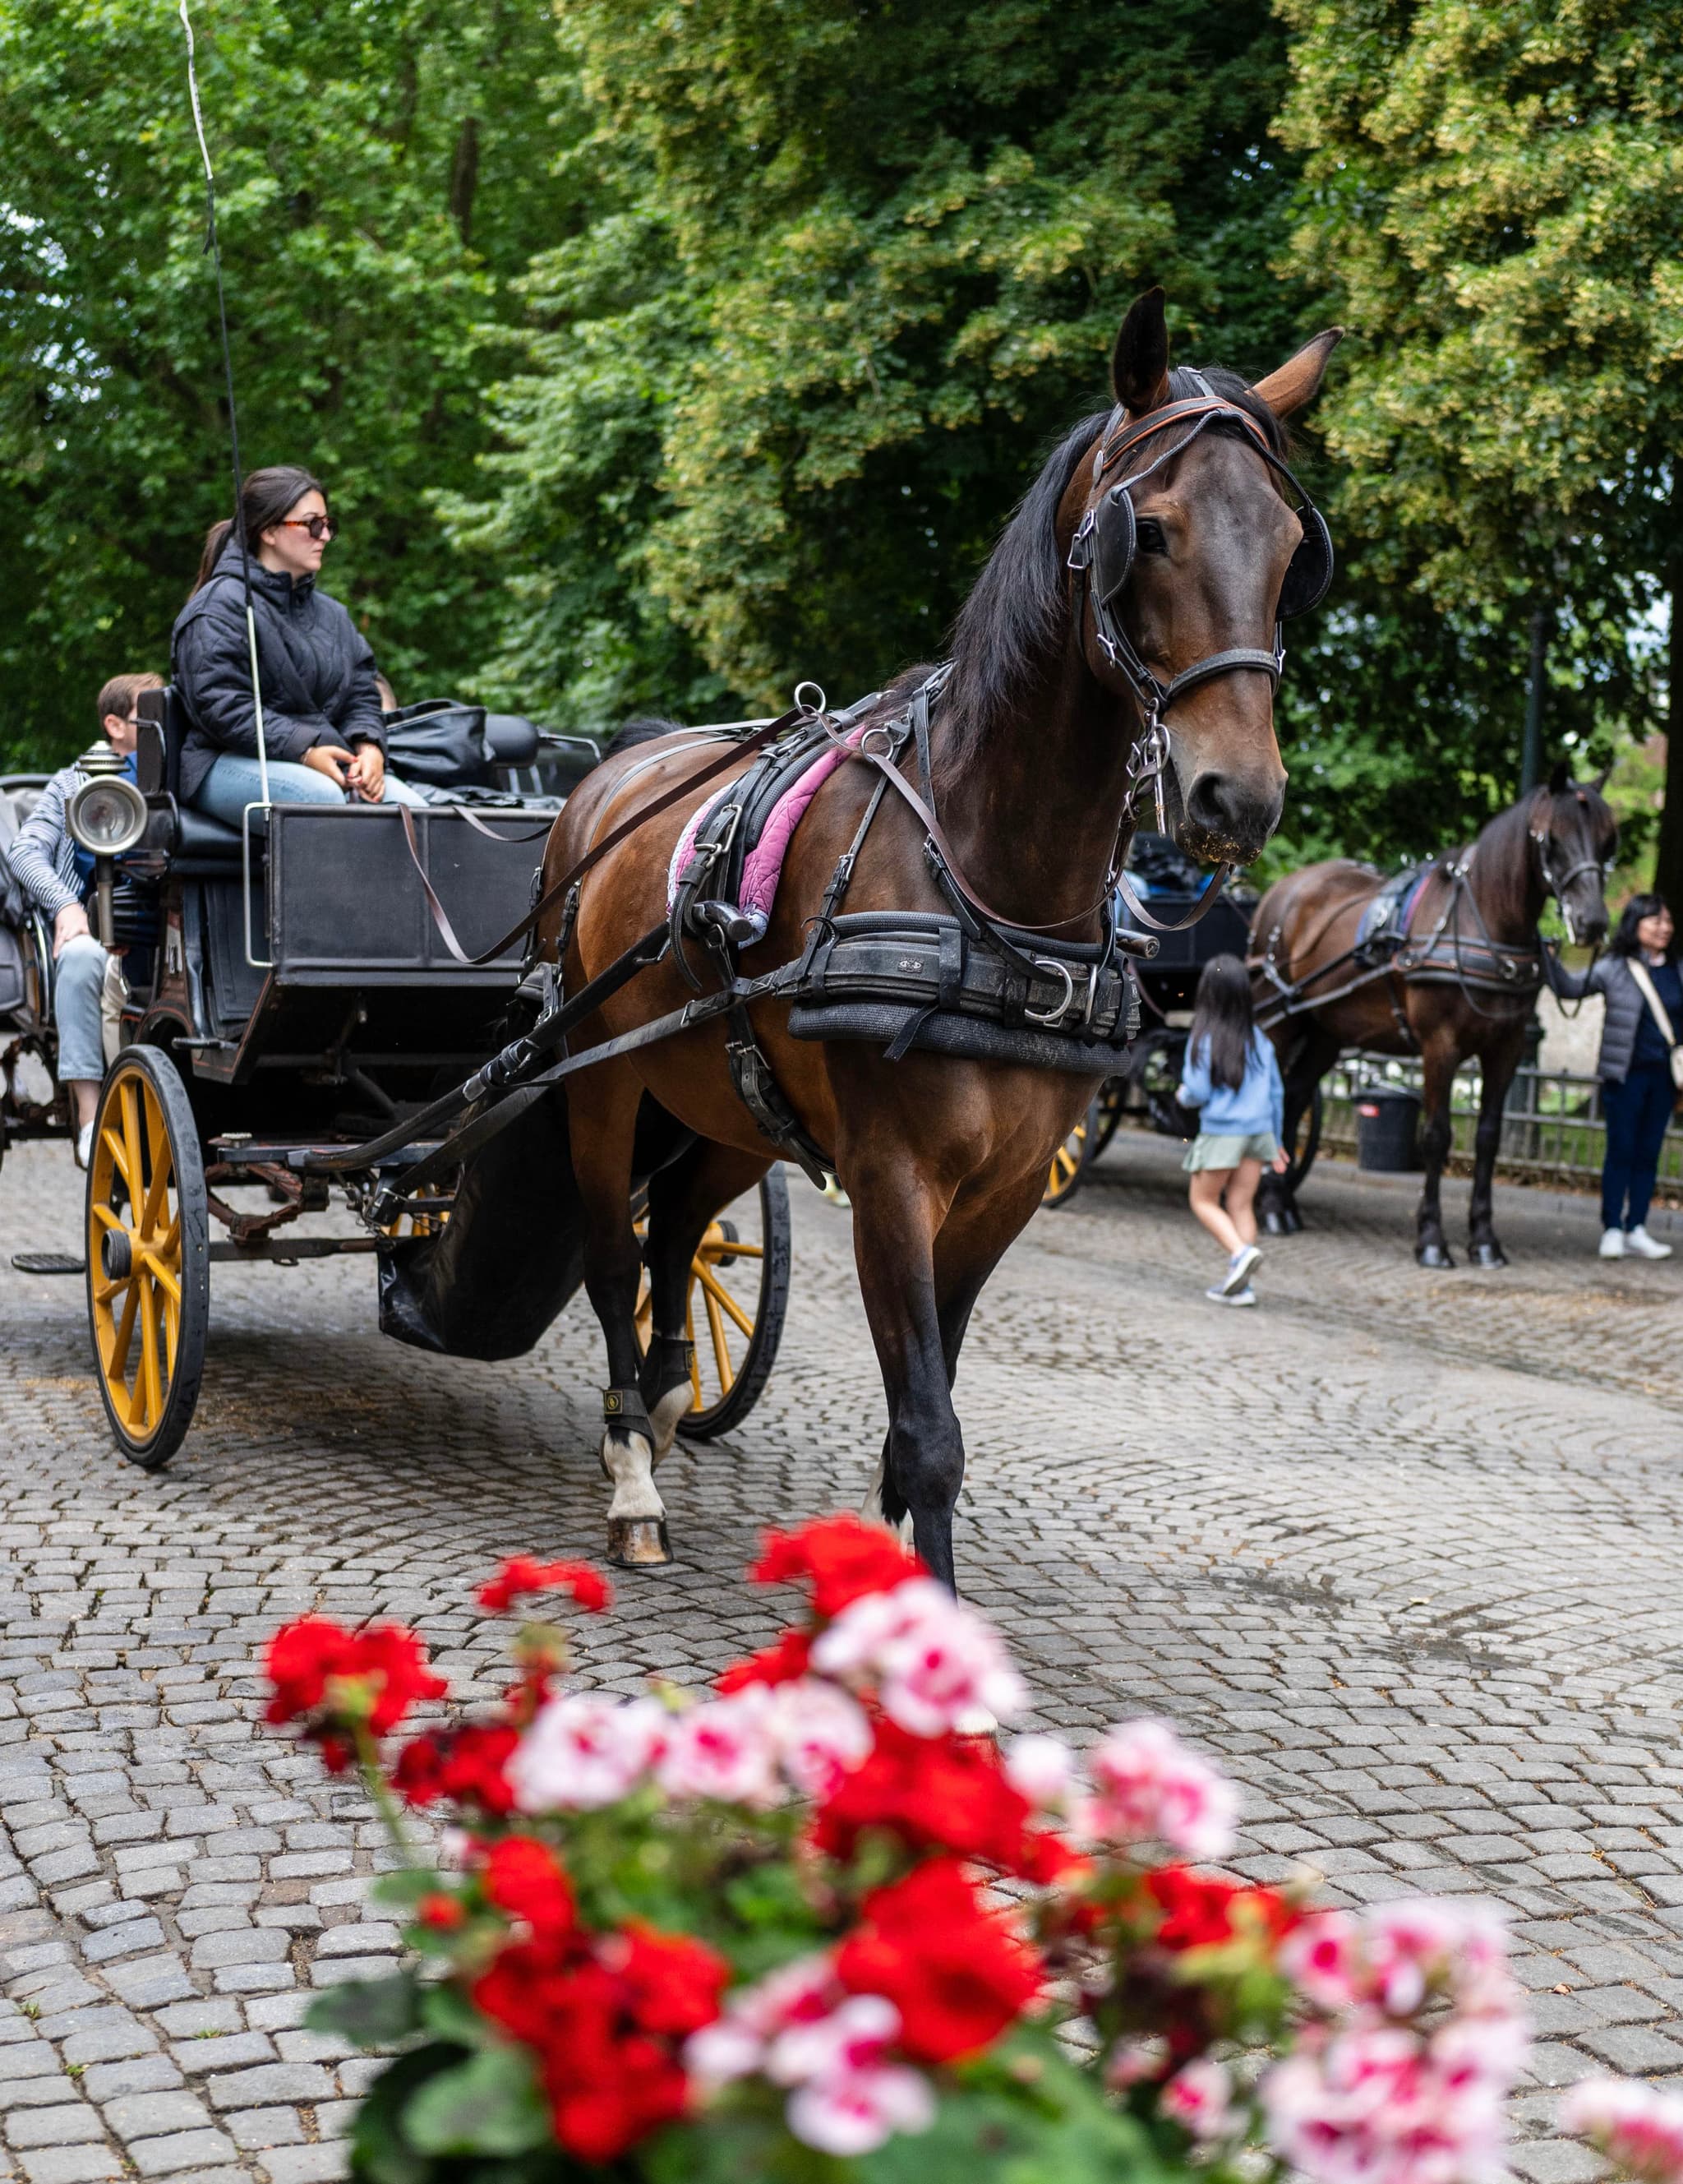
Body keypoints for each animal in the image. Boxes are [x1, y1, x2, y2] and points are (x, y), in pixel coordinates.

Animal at [1248, 777, 1615, 1275]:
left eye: (1607, 839)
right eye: (1552, 840)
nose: (1592, 921)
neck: (1481, 922)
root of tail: (1282, 891)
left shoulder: (1507, 1049)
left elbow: (1488, 1138)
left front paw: (1484, 1238)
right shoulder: (1439, 1047)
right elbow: (1436, 1137)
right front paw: (1431, 1238)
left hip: (1325, 1031)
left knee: (1295, 1096)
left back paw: (1281, 1201)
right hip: (1280, 1021)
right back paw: (1269, 1206)